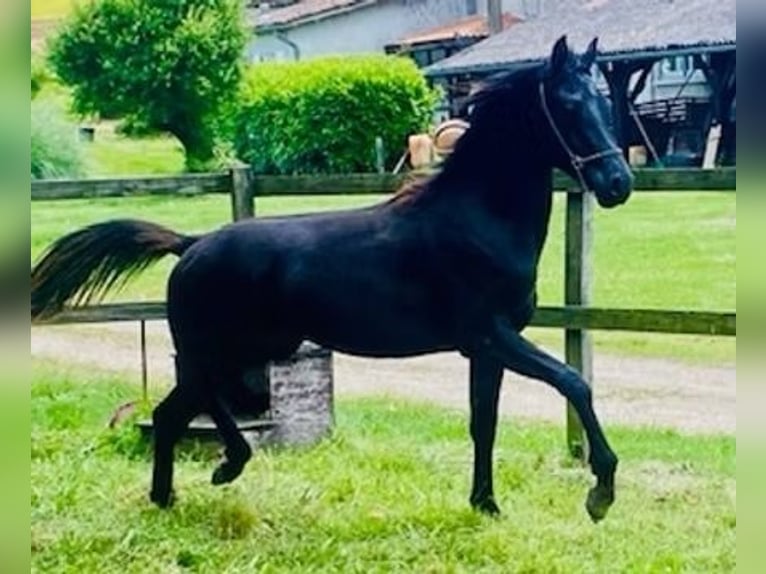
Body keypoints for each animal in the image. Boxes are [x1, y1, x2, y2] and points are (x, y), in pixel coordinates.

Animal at [30, 35, 632, 520]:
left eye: (606, 99)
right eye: (569, 103)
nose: (618, 183)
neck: (476, 219)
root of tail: (192, 244)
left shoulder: (486, 348)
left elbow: (483, 422)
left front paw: (486, 505)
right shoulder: (492, 335)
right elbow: (574, 382)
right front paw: (600, 492)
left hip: (244, 350)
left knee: (178, 410)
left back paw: (174, 493)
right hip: (222, 352)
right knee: (181, 408)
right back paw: (217, 471)